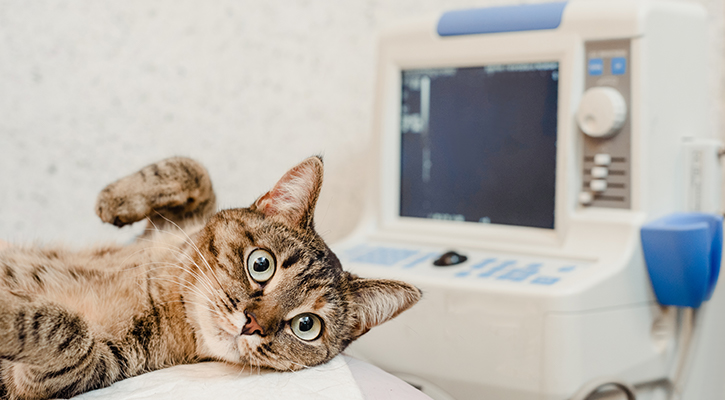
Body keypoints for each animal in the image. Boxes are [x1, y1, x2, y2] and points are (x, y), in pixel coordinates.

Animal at [0, 156, 422, 400]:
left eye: (306, 325)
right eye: (261, 264)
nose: (252, 324)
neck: (162, 287)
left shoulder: (87, 367)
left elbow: (67, 332)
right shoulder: (164, 230)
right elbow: (196, 171)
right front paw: (116, 199)